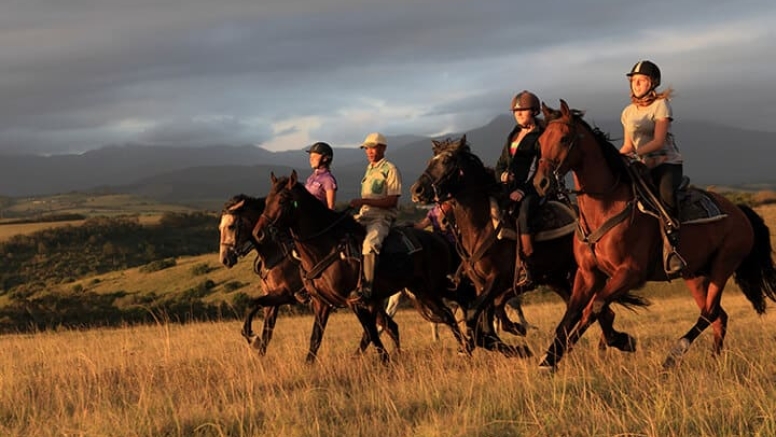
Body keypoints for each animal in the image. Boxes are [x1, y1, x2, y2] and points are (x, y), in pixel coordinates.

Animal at [218, 194, 400, 362]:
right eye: (220, 227)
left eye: (231, 226)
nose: (225, 259)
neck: (275, 251)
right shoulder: (273, 301)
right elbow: (266, 333)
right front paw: (259, 358)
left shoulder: (284, 295)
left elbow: (255, 308)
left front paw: (252, 338)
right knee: (389, 327)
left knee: (380, 329)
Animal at [255, 170, 472, 362]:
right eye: (266, 201)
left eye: (282, 200)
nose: (259, 233)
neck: (326, 246)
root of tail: (439, 239)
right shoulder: (321, 303)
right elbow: (315, 339)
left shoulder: (354, 300)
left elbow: (371, 334)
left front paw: (385, 361)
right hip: (419, 291)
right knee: (444, 315)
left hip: (431, 288)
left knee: (451, 311)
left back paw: (466, 349)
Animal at [410, 135, 644, 356]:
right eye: (431, 161)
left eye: (447, 161)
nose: (417, 190)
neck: (482, 226)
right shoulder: (480, 284)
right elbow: (484, 328)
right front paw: (516, 345)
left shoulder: (497, 280)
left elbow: (475, 318)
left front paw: (518, 347)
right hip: (557, 278)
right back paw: (614, 341)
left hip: (575, 274)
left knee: (597, 309)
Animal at [532, 100, 776, 370]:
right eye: (540, 140)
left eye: (564, 139)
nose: (541, 183)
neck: (606, 206)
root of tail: (740, 212)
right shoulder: (588, 274)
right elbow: (572, 314)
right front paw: (549, 360)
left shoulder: (630, 272)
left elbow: (593, 308)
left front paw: (621, 341)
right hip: (694, 274)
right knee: (719, 316)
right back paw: (714, 361)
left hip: (723, 266)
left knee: (710, 312)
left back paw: (674, 355)